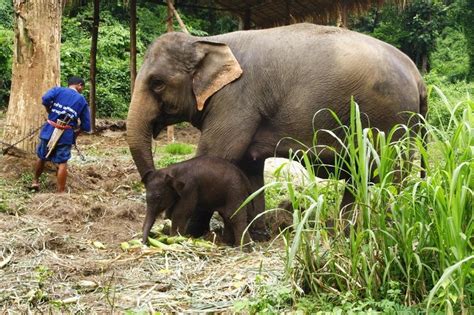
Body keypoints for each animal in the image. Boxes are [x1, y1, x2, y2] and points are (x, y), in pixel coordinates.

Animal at [128, 23, 428, 241]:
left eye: (157, 83)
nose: (153, 233)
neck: (206, 41)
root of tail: (418, 76)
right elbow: (248, 168)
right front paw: (258, 234)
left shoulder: (235, 100)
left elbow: (216, 155)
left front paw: (190, 234)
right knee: (361, 174)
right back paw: (344, 231)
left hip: (391, 120)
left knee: (391, 173)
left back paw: (385, 227)